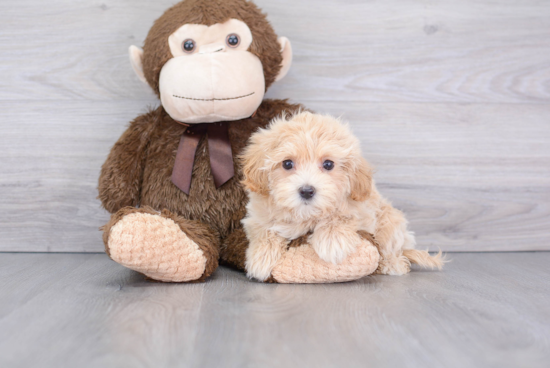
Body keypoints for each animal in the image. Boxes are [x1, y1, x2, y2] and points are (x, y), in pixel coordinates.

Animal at [242, 112, 444, 282]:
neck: (307, 215)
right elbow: (264, 230)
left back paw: (393, 265)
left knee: (393, 249)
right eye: (287, 164)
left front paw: (332, 241)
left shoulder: (362, 210)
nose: (307, 191)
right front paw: (261, 257)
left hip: (391, 222)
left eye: (328, 164)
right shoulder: (257, 214)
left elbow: (342, 216)